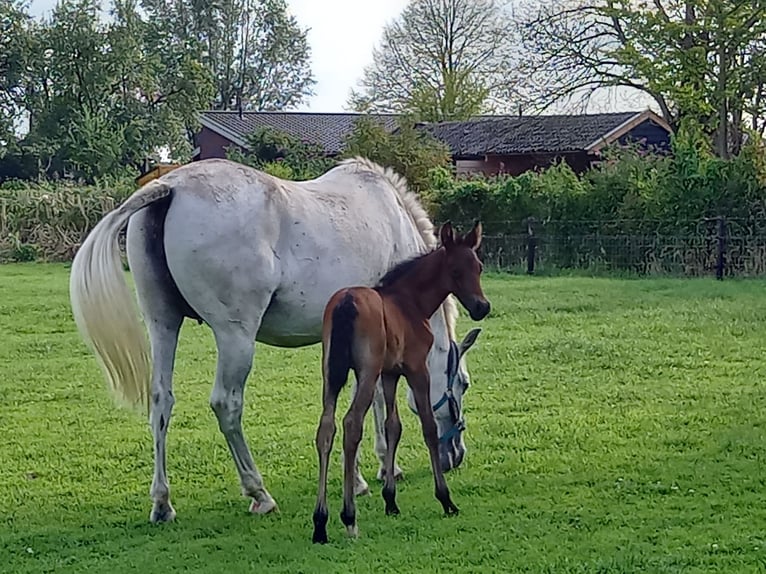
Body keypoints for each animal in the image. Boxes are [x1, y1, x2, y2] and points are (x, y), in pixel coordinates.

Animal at [312, 220, 492, 544]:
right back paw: (349, 517)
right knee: (351, 425)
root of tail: (346, 302)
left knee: (326, 429)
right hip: (365, 373)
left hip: (331, 375)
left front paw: (391, 501)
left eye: (479, 267)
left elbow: (393, 426)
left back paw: (320, 523)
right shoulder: (417, 370)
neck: (409, 302)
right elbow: (429, 428)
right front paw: (445, 499)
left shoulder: (390, 374)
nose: (481, 307)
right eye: (456, 271)